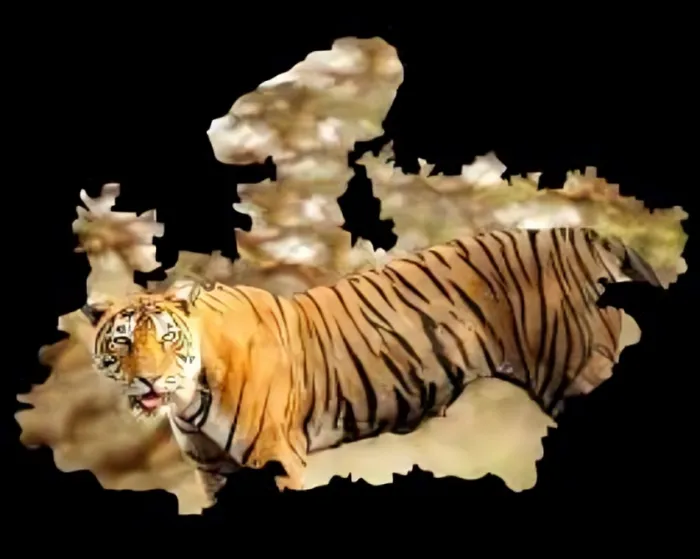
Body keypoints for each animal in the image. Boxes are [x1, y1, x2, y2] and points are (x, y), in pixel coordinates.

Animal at [81, 226, 660, 500]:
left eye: (166, 339)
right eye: (124, 343)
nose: (150, 380)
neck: (187, 397)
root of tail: (580, 232)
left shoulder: (275, 456)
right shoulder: (213, 471)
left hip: (577, 371)